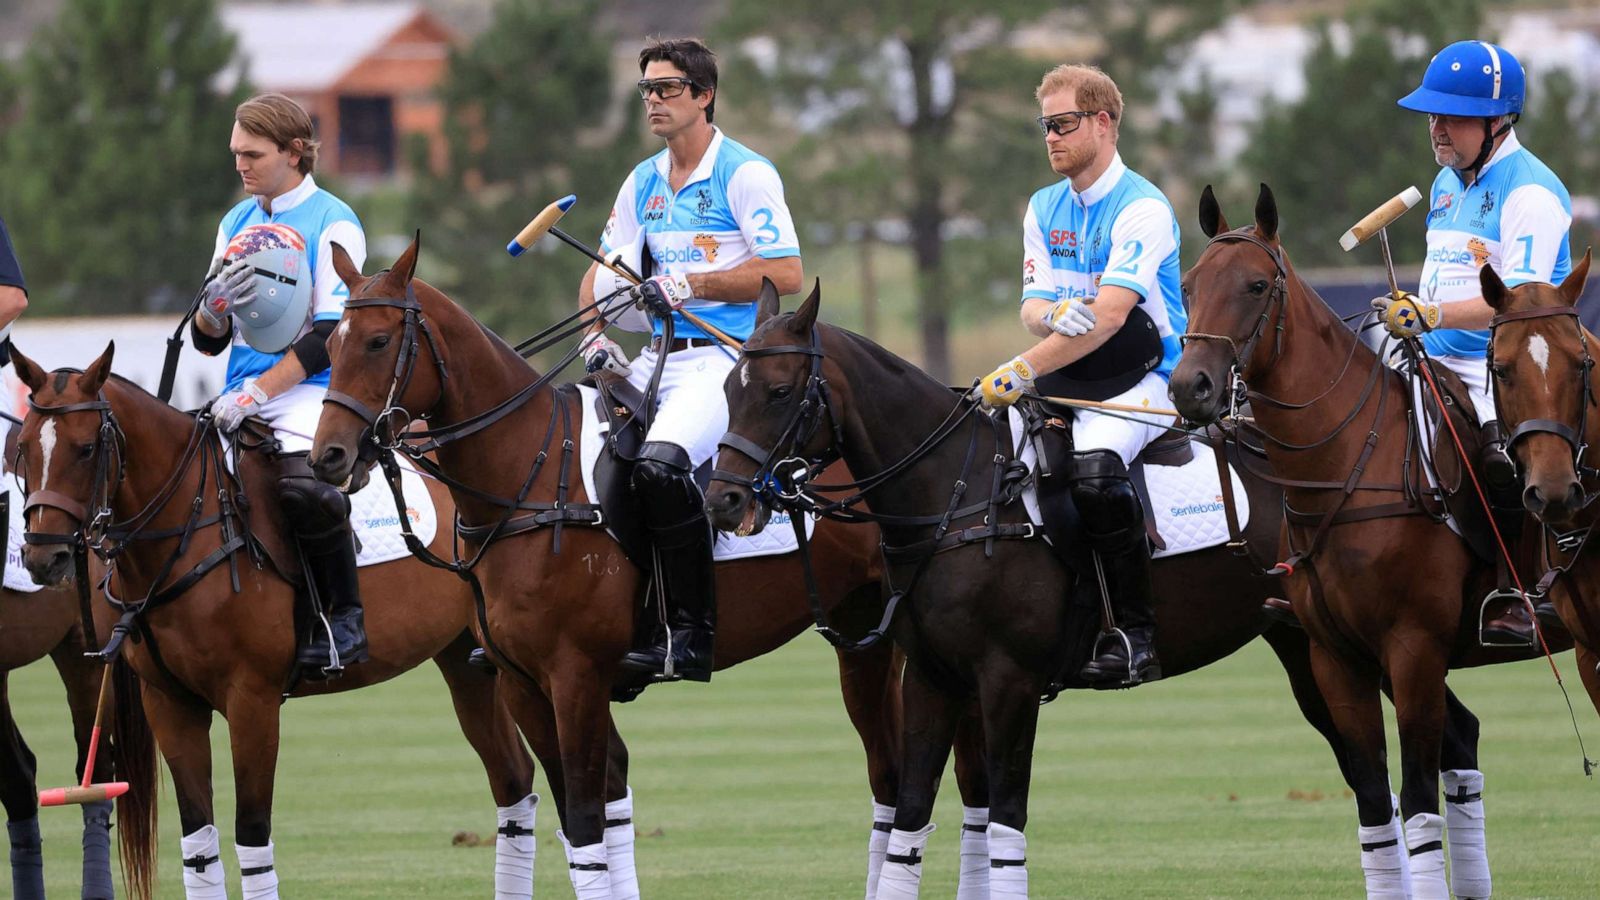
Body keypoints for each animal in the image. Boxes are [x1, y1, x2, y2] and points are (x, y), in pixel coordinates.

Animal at [7, 347, 537, 896]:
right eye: (22, 448)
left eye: (87, 448)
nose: (43, 558)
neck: (189, 530)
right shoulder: (170, 703)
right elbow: (198, 840)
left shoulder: (253, 700)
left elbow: (252, 833)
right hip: (461, 658)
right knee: (514, 778)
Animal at [305, 235, 985, 890]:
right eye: (329, 345)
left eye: (377, 341)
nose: (328, 457)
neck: (529, 478)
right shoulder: (522, 682)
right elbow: (584, 817)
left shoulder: (575, 675)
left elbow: (585, 825)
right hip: (863, 633)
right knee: (891, 779)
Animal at [700, 281, 1484, 896]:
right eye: (728, 390)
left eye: (777, 391)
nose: (722, 500)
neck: (958, 495)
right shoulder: (932, 678)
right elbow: (912, 821)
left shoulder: (1008, 682)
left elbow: (1005, 826)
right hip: (1312, 647)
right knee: (1428, 748)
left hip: (1381, 641)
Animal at [1164, 182, 1587, 896]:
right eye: (1189, 284)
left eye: (1256, 285)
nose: (1189, 387)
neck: (1344, 470)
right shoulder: (1336, 658)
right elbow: (1373, 809)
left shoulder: (1413, 649)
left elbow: (1416, 805)